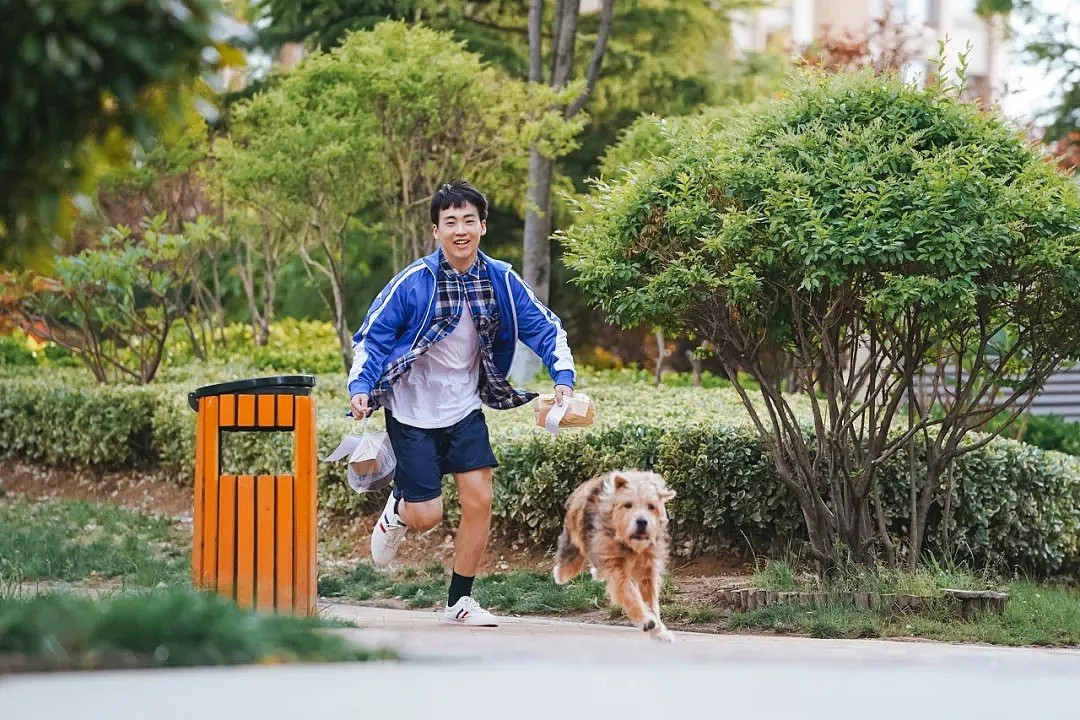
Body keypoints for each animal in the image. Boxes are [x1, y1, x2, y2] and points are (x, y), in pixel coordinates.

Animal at [557, 472, 673, 643]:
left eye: (651, 506)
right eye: (628, 505)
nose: (642, 522)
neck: (630, 545)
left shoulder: (648, 570)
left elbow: (651, 602)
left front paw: (659, 631)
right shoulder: (616, 568)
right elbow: (630, 595)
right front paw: (646, 620)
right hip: (576, 535)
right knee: (571, 557)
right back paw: (562, 573)